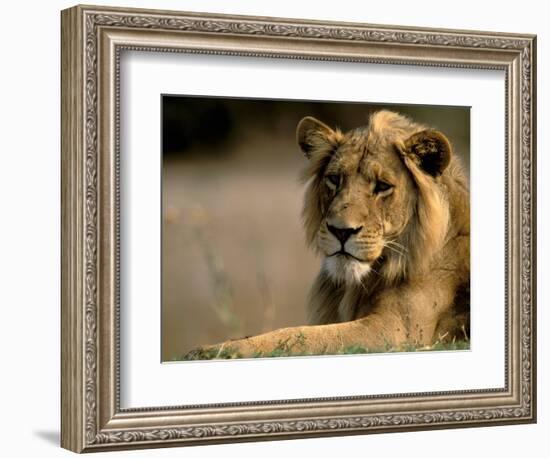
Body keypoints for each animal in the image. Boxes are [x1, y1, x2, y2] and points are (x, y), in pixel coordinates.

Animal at [185, 109, 470, 360]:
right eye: (334, 179)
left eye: (382, 186)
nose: (341, 231)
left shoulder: (398, 330)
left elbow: (299, 337)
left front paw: (213, 351)